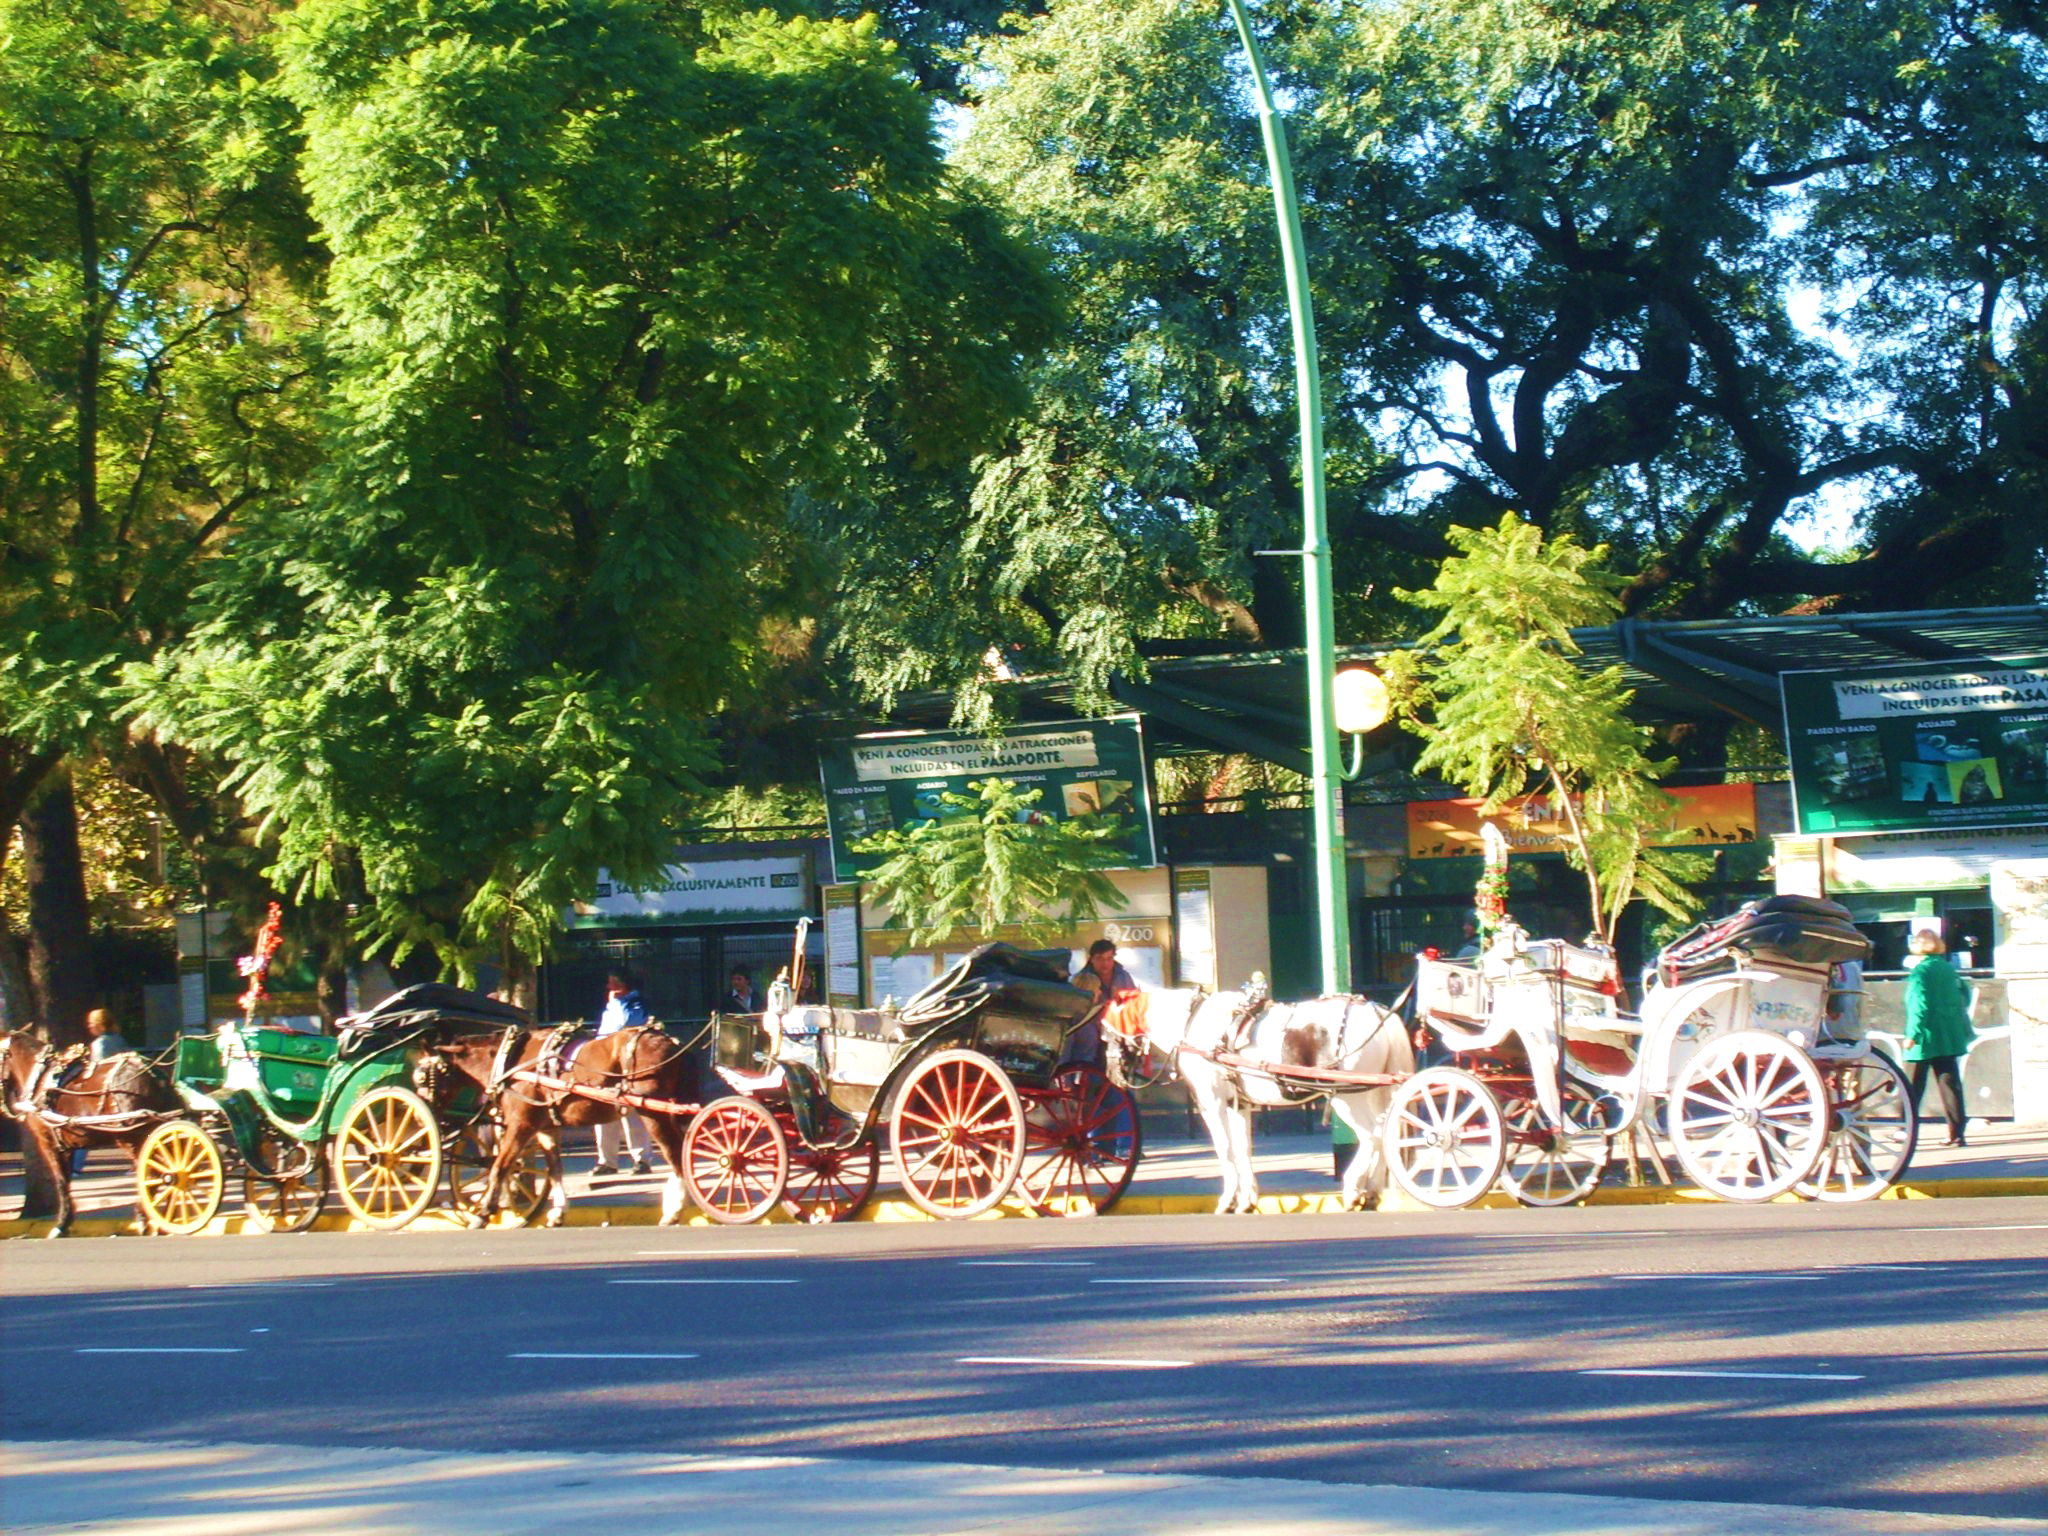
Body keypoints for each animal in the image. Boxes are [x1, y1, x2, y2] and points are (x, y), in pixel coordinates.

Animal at [0, 1036, 180, 1236]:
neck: (39, 1080)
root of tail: (153, 1074)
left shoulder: (48, 1142)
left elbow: (61, 1182)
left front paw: (60, 1225)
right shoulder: (66, 1146)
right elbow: (66, 1181)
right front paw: (66, 1221)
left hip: (131, 1137)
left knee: (151, 1173)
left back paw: (146, 1218)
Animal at [428, 1028, 700, 1236]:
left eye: (431, 1074)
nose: (429, 1110)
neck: (511, 1062)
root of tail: (671, 1042)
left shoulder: (520, 1124)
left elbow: (500, 1167)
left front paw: (483, 1213)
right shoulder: (545, 1128)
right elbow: (555, 1168)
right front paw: (558, 1213)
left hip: (652, 1111)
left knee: (675, 1153)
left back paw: (674, 1210)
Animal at [1105, 991, 1409, 1220]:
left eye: (1106, 1033)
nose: (1112, 1074)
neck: (1192, 1024)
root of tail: (1378, 1012)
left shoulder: (1211, 1101)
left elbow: (1224, 1149)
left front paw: (1228, 1200)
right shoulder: (1237, 1104)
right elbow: (1242, 1149)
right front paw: (1247, 1199)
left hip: (1346, 1096)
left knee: (1372, 1136)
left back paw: (1353, 1189)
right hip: (1369, 1092)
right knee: (1385, 1132)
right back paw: (1372, 1191)